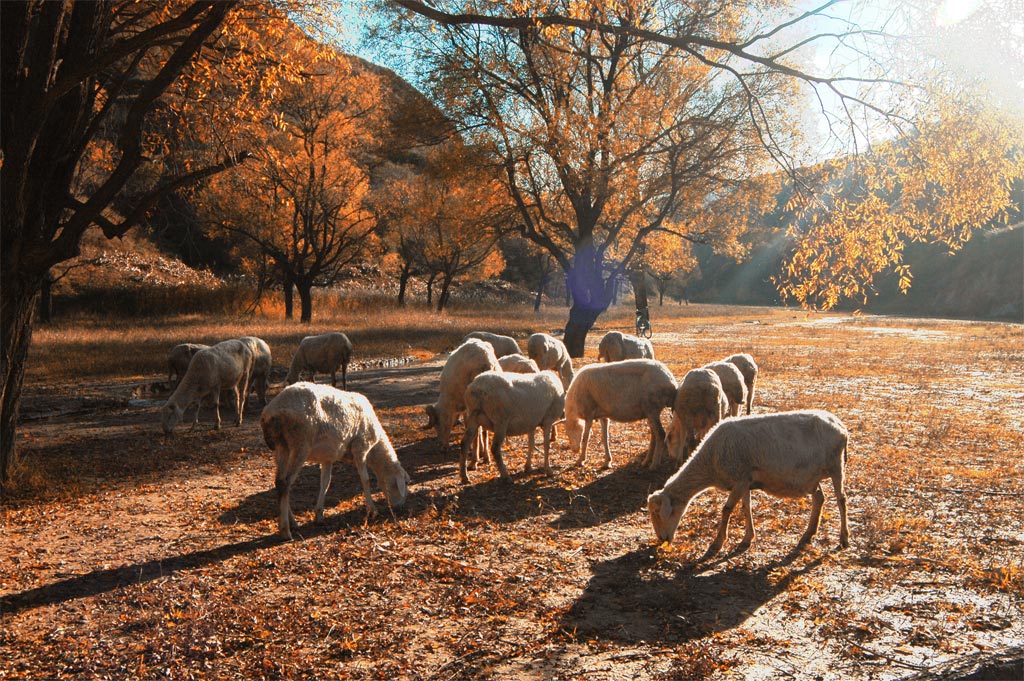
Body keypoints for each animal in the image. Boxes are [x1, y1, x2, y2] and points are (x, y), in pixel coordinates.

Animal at [260, 385, 411, 540]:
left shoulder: (327, 457)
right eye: (405, 483)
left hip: (282, 446)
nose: (401, 506)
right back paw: (285, 530)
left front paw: (319, 515)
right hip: (300, 443)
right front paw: (372, 511)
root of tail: (270, 412)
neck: (374, 450)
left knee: (279, 482)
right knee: (286, 482)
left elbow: (325, 483)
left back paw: (293, 522)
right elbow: (366, 480)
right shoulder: (360, 448)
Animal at [647, 409, 847, 557]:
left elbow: (727, 510)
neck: (709, 463)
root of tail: (841, 426)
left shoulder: (741, 479)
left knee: (841, 500)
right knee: (819, 498)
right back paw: (808, 534)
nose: (662, 540)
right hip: (812, 476)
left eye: (658, 513)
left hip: (836, 466)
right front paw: (747, 538)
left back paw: (844, 539)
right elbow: (746, 508)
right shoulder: (745, 481)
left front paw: (717, 543)